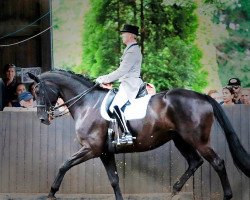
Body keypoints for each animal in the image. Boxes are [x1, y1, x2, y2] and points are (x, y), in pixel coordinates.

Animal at [28, 70, 250, 200]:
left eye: (38, 91)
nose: (42, 119)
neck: (87, 103)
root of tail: (202, 96)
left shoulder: (91, 149)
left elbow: (64, 164)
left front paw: (51, 193)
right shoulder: (105, 152)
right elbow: (114, 179)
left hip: (197, 140)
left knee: (217, 163)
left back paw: (227, 196)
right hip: (180, 139)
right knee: (195, 162)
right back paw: (174, 189)